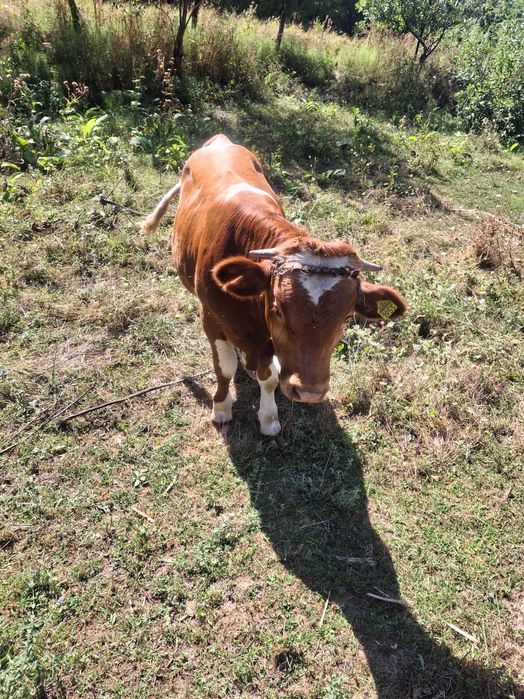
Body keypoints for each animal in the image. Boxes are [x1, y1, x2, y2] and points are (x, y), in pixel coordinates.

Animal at [141, 134, 407, 436]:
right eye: (279, 309)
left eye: (345, 318)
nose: (310, 392)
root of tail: (220, 140)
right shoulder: (211, 316)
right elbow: (224, 369)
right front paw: (221, 408)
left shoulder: (267, 339)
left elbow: (268, 376)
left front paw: (268, 417)